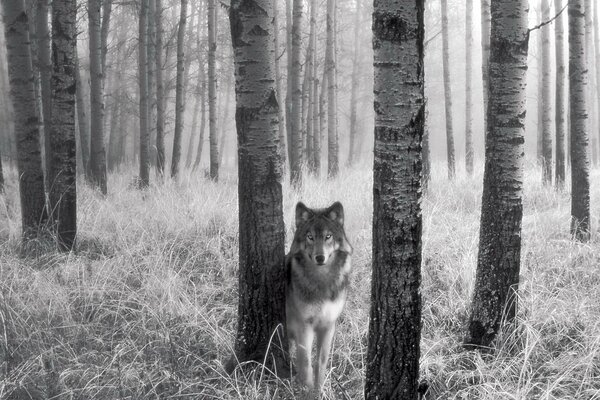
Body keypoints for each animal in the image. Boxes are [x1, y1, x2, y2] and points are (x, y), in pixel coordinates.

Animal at [286, 202, 352, 392]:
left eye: (328, 236)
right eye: (310, 237)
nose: (320, 257)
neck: (322, 281)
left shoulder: (328, 325)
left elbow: (321, 363)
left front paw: (319, 391)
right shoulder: (304, 326)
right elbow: (306, 363)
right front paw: (307, 391)